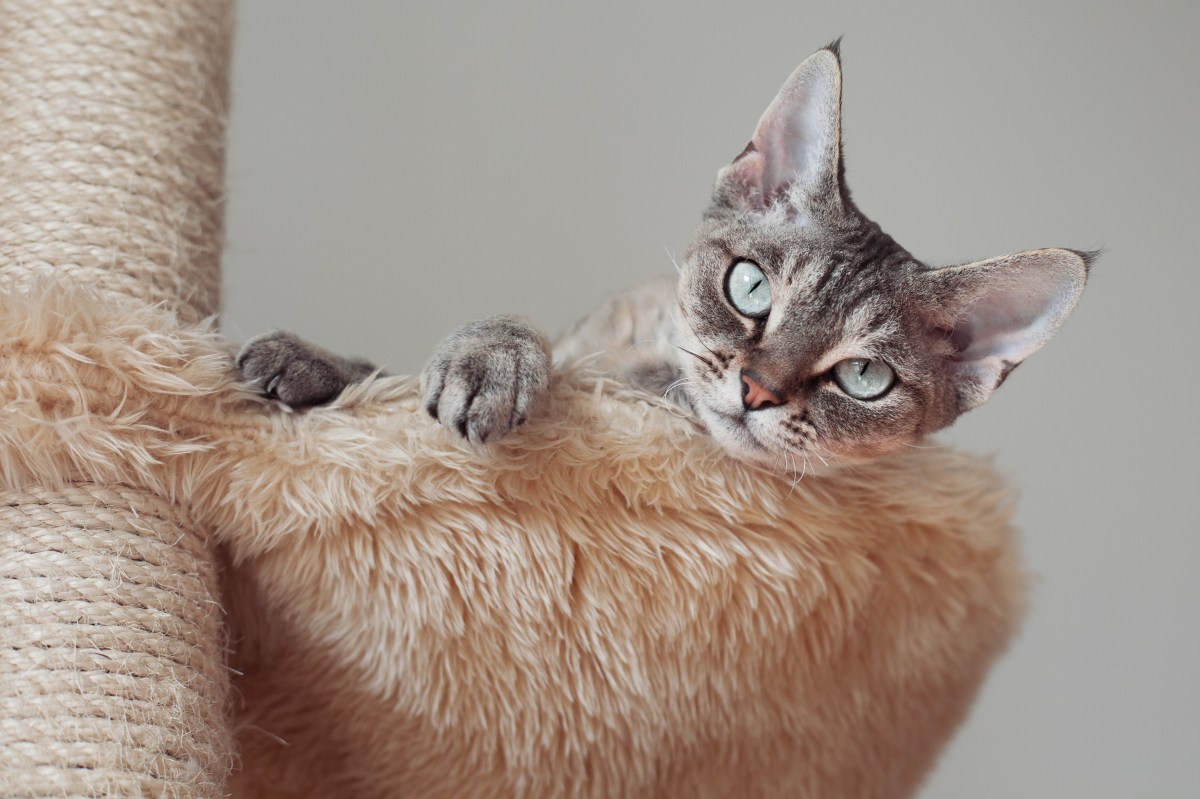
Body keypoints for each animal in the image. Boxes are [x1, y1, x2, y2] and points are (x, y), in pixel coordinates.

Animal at [238, 41, 1094, 467]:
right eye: (750, 288)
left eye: (863, 378)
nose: (757, 391)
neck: (640, 340)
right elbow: (402, 364)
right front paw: (479, 356)